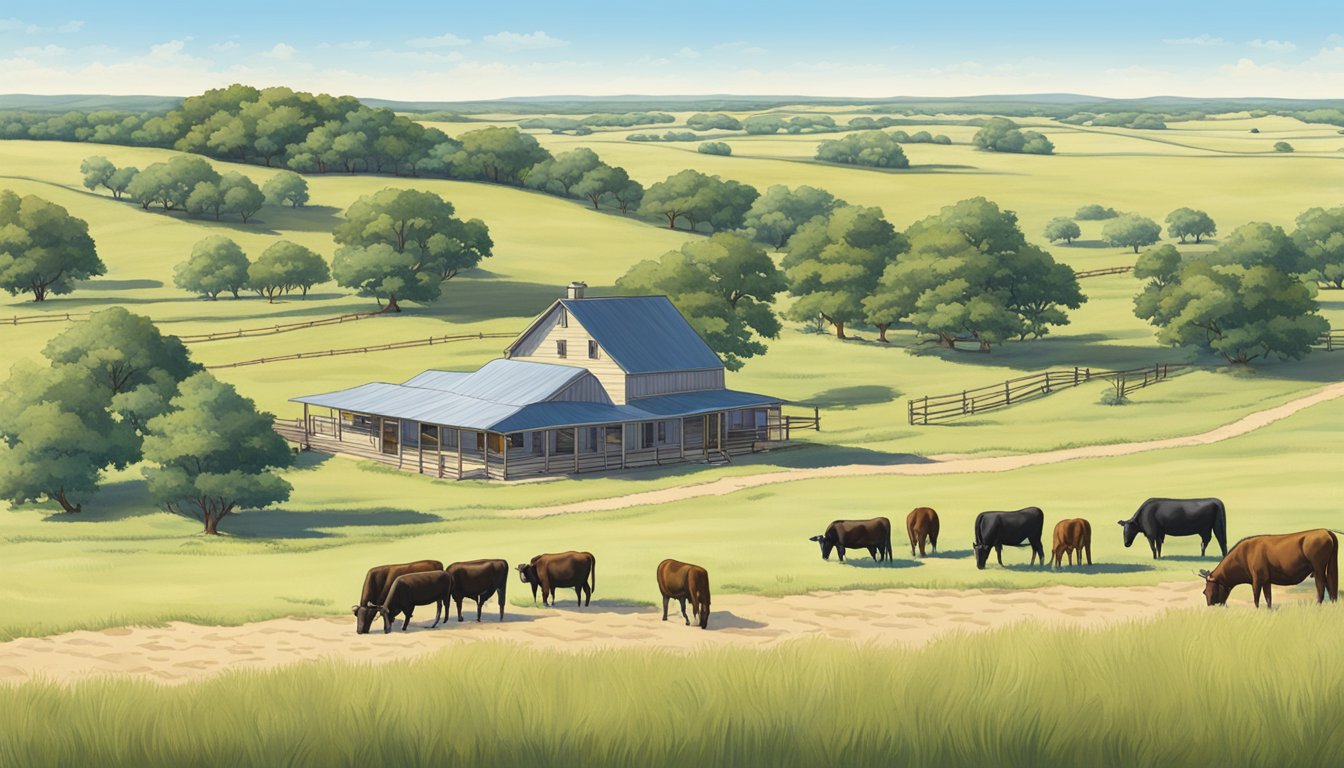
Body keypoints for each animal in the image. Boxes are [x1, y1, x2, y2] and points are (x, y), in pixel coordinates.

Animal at [1204, 532, 1338, 610]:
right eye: (1204, 592)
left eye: (1213, 589)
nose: (1209, 605)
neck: (1245, 554)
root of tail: (1325, 531)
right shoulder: (1266, 581)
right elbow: (1268, 597)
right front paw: (1269, 610)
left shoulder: (1257, 580)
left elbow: (1256, 597)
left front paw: (1257, 610)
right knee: (1329, 584)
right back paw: (1332, 603)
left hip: (1318, 569)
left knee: (1321, 586)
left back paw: (1318, 605)